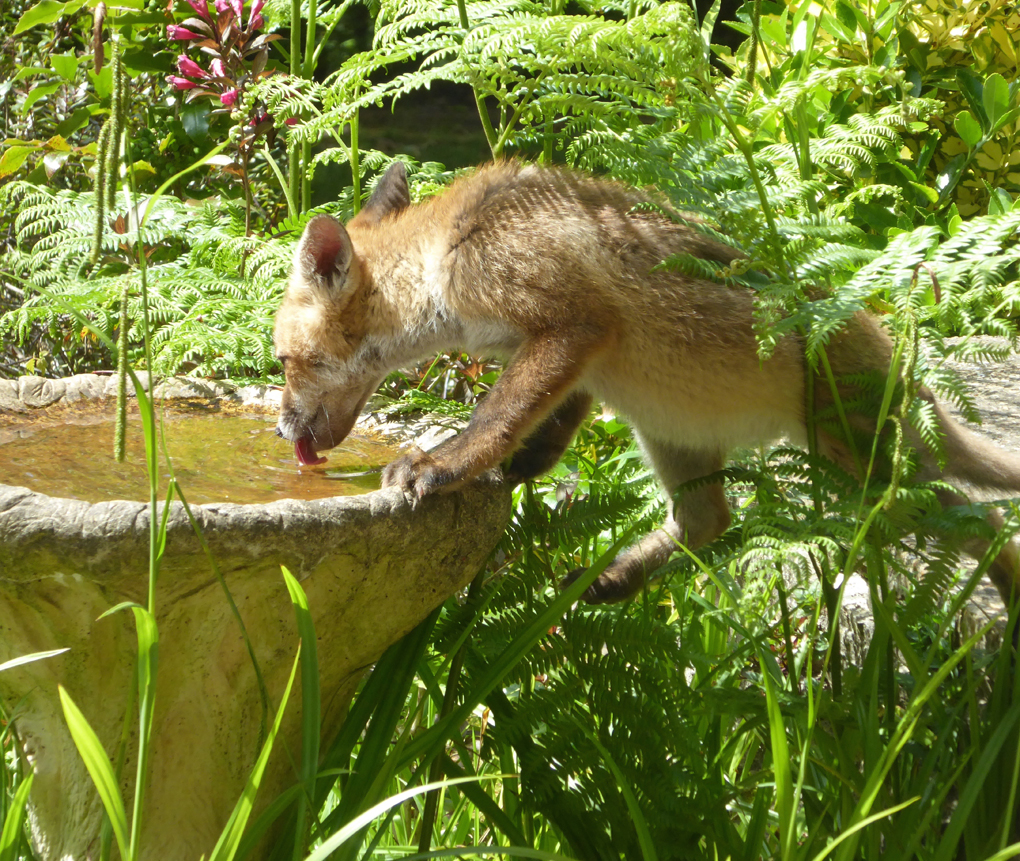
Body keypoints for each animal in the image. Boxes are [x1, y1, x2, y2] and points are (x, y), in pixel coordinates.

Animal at [275, 160, 1020, 603]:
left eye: (284, 361)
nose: (282, 430)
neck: (443, 257)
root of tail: (896, 353)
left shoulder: (570, 320)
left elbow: (495, 414)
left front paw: (444, 463)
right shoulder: (579, 353)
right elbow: (548, 417)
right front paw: (524, 464)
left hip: (865, 469)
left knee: (983, 519)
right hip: (674, 435)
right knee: (709, 521)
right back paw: (615, 576)